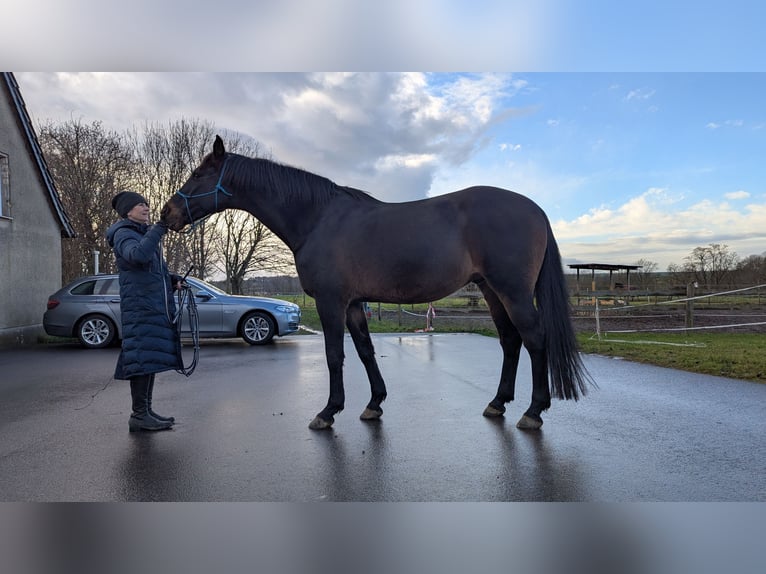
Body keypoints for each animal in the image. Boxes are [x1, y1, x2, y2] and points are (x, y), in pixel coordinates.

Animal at [160, 136, 592, 432]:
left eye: (199, 174)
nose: (167, 213)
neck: (318, 218)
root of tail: (534, 209)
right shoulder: (354, 304)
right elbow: (366, 351)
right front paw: (374, 404)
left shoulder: (331, 302)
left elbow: (335, 355)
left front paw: (328, 411)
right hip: (490, 290)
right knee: (510, 340)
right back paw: (498, 403)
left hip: (512, 291)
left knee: (534, 339)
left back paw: (533, 412)